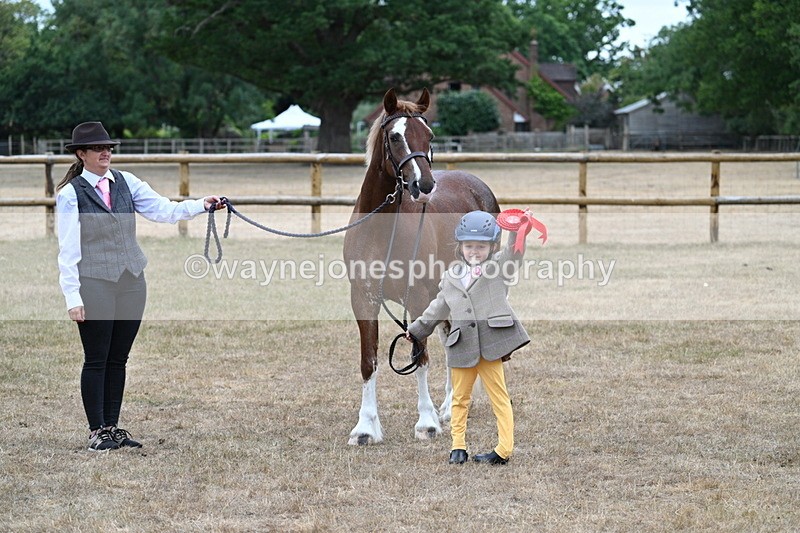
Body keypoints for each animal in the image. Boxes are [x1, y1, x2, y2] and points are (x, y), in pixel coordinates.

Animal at [343, 88, 500, 445]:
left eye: (429, 135)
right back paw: (451, 405)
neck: (382, 231)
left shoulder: (416, 298)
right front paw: (366, 428)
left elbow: (420, 357)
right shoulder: (363, 299)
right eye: (395, 136)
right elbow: (368, 361)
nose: (424, 185)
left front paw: (426, 423)